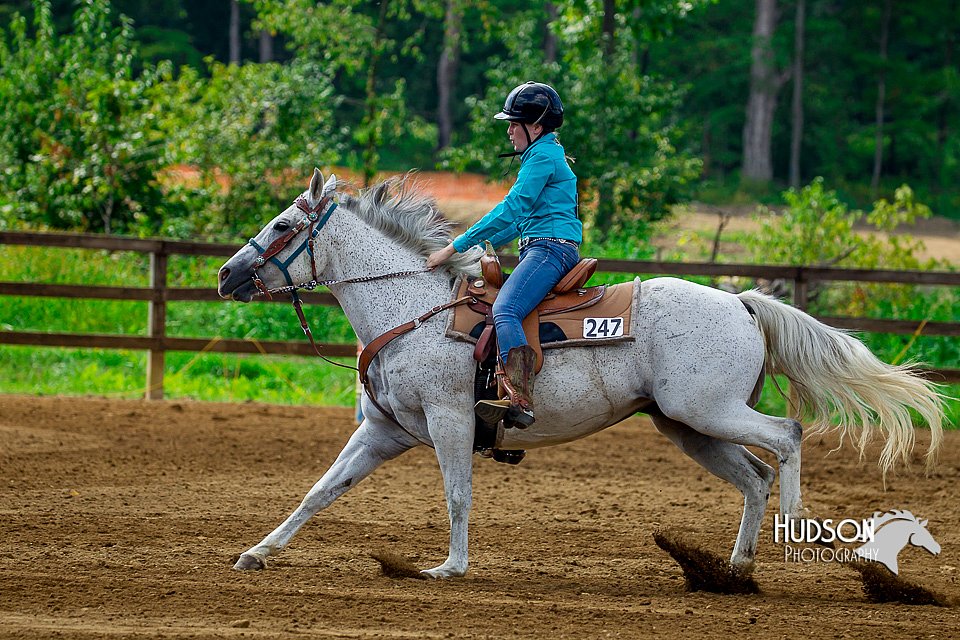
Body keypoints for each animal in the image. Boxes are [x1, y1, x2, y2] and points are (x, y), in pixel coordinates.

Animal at [218, 170, 944, 580]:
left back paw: (788, 540)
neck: (411, 309)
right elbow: (320, 491)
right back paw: (738, 566)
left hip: (708, 411)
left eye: (283, 225)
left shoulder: (451, 422)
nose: (226, 275)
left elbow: (457, 495)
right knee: (755, 475)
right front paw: (257, 553)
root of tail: (739, 301)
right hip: (689, 426)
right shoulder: (383, 431)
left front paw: (449, 568)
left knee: (787, 437)